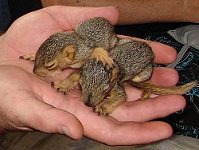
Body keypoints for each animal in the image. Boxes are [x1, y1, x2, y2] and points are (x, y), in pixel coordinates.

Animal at [19, 16, 197, 115]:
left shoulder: (87, 54)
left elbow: (95, 54)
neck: (77, 42)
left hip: (140, 70)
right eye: (38, 51)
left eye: (50, 65)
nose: (35, 72)